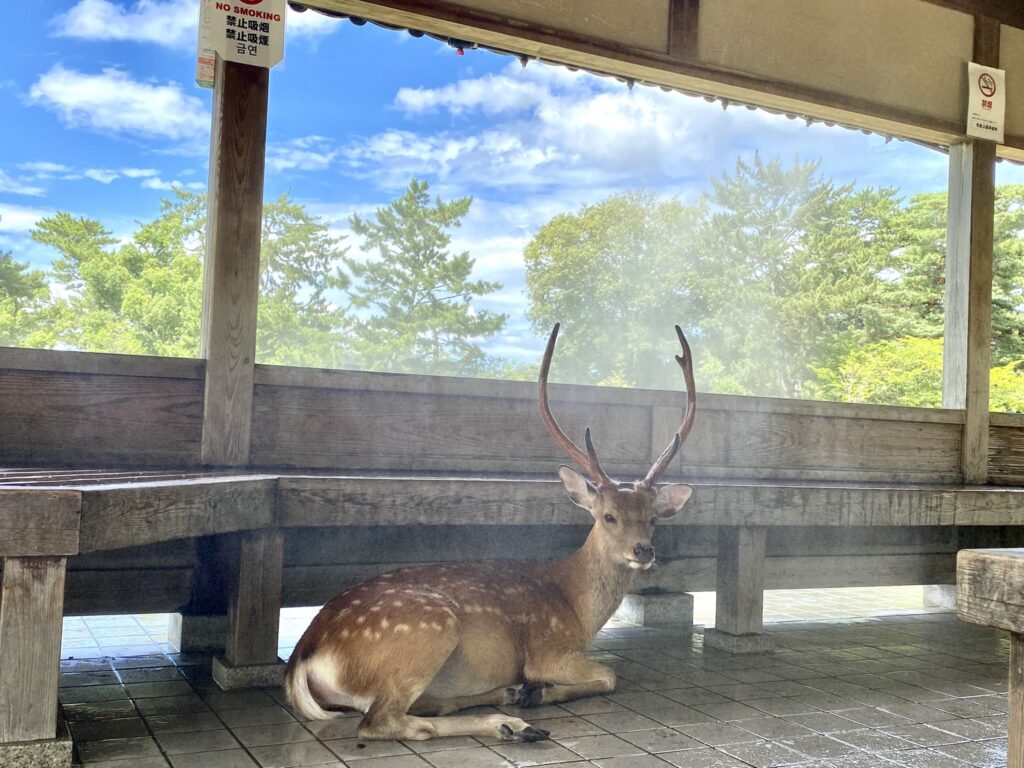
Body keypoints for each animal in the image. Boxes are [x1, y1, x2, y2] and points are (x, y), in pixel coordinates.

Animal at [282, 321, 696, 741]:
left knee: (423, 706)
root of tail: (302, 659)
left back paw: (508, 696)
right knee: (381, 721)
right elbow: (610, 675)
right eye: (609, 516)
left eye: (652, 518)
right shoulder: (548, 649)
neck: (577, 608)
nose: (643, 550)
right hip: (428, 630)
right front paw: (541, 692)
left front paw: (530, 692)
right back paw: (513, 724)